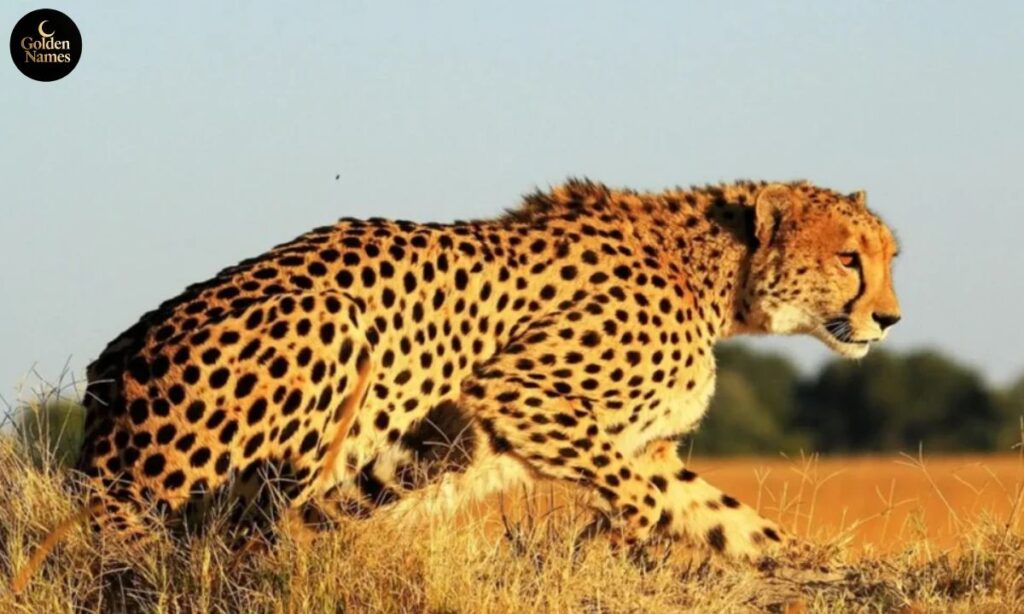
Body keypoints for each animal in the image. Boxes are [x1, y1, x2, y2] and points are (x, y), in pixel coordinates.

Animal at [13, 178, 900, 590]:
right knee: (190, 540)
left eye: (890, 255)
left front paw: (814, 568)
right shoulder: (518, 390)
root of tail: (116, 366)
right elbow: (639, 505)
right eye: (848, 258)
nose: (890, 319)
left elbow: (728, 518)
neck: (719, 276)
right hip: (336, 327)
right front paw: (590, 553)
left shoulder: (645, 447)